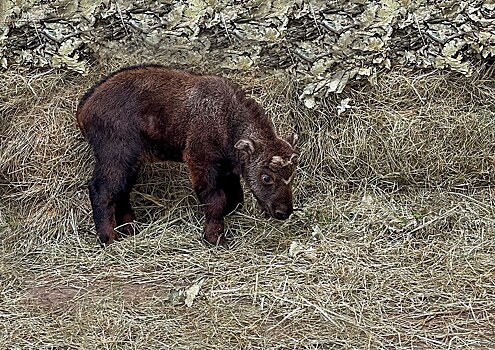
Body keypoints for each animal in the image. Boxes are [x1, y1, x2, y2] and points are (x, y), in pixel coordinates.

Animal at [75, 65, 296, 246]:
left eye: (292, 175)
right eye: (266, 177)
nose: (283, 212)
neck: (226, 119)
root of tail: (84, 108)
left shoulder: (226, 170)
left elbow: (236, 197)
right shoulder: (201, 163)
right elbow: (216, 201)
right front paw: (215, 239)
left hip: (131, 163)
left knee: (122, 191)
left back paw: (131, 229)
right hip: (117, 157)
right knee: (102, 190)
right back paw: (109, 238)